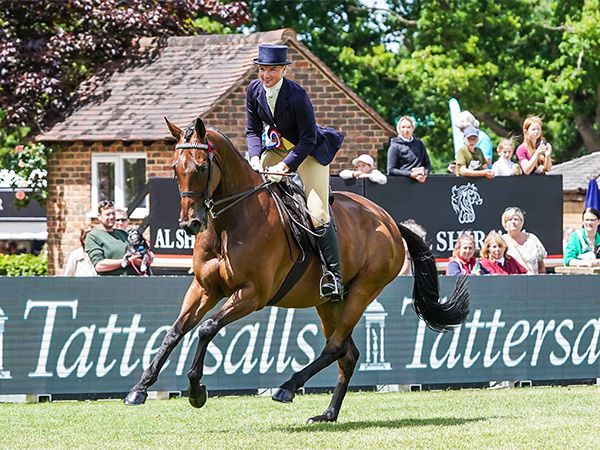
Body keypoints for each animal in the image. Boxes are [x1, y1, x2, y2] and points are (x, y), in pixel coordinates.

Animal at [123, 116, 468, 422]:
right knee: (348, 354)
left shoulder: (252, 294)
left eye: (202, 167)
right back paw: (327, 414)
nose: (190, 223)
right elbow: (175, 332)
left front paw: (196, 390)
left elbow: (206, 329)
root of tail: (389, 221)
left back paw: (288, 387)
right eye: (175, 168)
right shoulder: (204, 289)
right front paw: (139, 389)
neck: (230, 222)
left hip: (363, 290)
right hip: (329, 302)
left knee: (335, 347)